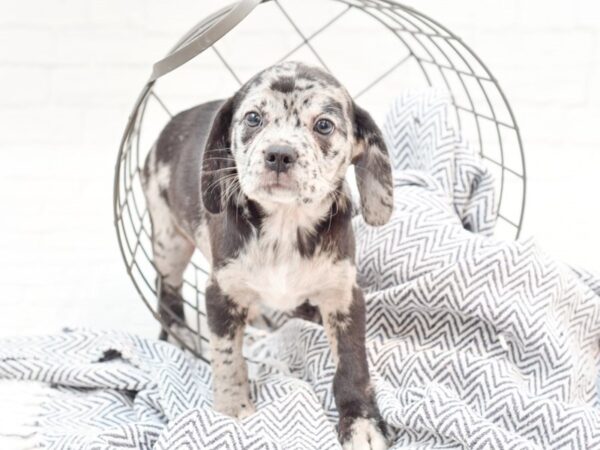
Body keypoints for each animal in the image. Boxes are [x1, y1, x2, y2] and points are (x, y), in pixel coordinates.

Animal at [141, 61, 394, 448]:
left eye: (324, 125)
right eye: (253, 118)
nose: (279, 154)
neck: (285, 226)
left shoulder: (343, 295)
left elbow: (352, 364)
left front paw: (361, 422)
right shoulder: (221, 293)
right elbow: (227, 359)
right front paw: (233, 411)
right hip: (168, 239)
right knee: (167, 296)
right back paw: (182, 337)